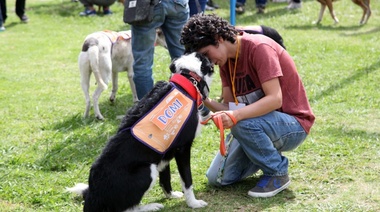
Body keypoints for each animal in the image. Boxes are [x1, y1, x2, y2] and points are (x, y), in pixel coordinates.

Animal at [67, 52, 214, 211]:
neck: (186, 82)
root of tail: (92, 196)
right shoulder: (182, 148)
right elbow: (187, 180)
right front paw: (193, 203)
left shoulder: (164, 150)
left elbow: (165, 178)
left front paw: (171, 195)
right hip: (147, 170)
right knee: (127, 208)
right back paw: (151, 206)